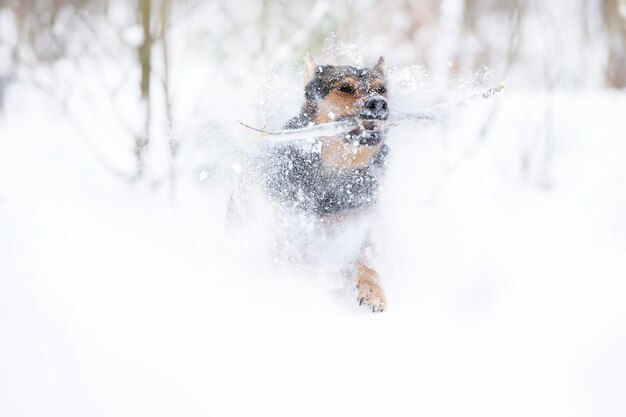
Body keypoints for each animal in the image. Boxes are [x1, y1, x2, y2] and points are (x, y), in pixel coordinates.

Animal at [232, 52, 390, 312]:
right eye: (345, 88)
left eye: (382, 89)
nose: (379, 103)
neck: (337, 170)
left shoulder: (360, 225)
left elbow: (366, 263)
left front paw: (372, 291)